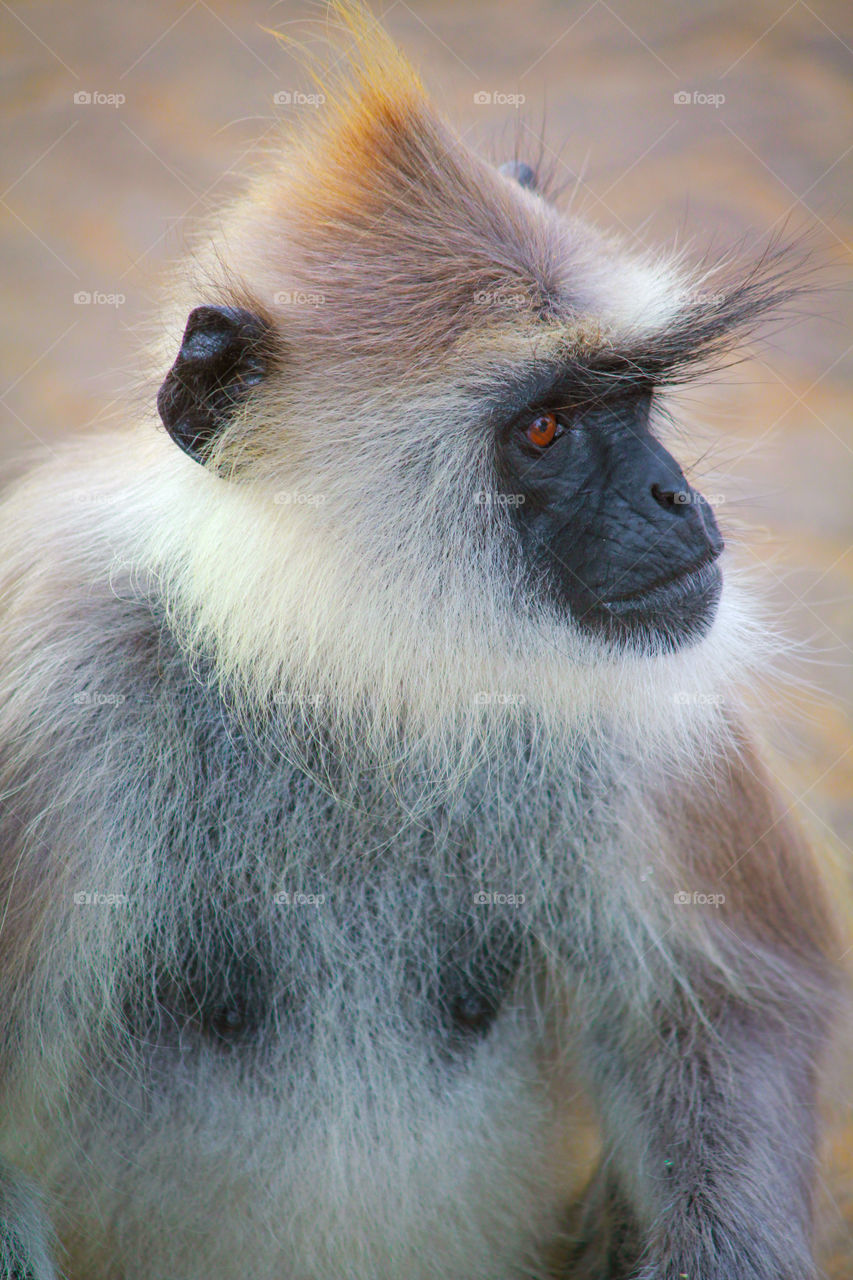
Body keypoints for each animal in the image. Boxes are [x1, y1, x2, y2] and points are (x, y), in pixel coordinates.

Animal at [0, 4, 848, 1278]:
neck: (346, 663)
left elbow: (727, 1014)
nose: (672, 497)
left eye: (633, 394)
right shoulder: (51, 687)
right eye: (544, 428)